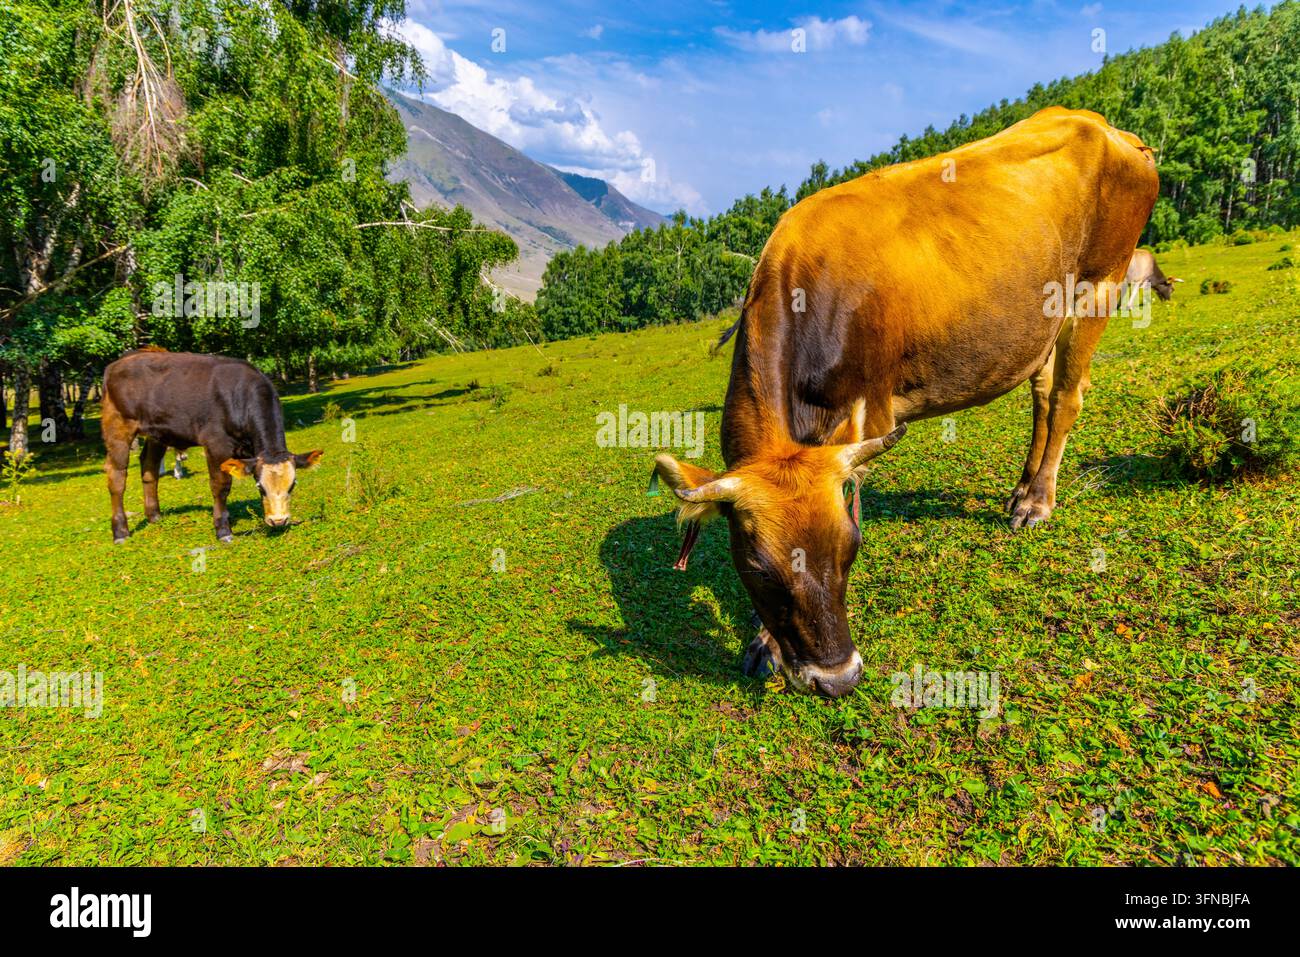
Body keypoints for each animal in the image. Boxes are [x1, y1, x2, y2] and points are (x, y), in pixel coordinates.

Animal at [100, 349, 322, 543]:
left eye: (292, 485)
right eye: (260, 486)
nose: (278, 521)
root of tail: (118, 362)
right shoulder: (216, 445)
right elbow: (221, 486)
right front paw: (223, 529)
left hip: (156, 433)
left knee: (149, 466)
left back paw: (154, 516)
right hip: (118, 425)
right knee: (117, 476)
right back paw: (120, 531)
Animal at [652, 108, 1158, 697]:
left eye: (851, 547)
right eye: (757, 568)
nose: (838, 678)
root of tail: (1107, 127)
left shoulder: (871, 407)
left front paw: (763, 644)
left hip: (1100, 285)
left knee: (1066, 397)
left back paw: (1038, 502)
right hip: (1045, 318)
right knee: (1041, 392)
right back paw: (1021, 490)